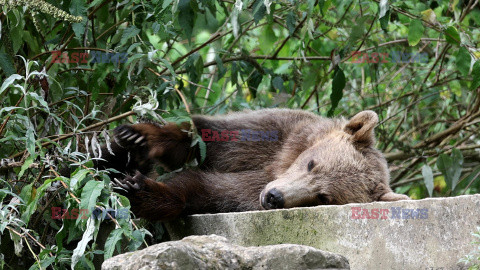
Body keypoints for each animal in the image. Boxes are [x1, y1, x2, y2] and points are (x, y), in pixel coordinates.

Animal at [95, 108, 410, 220]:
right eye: (311, 164)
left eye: (323, 197)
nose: (274, 197)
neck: (280, 163)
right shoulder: (276, 134)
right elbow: (209, 137)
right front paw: (140, 137)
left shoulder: (249, 191)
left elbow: (206, 190)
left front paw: (137, 189)